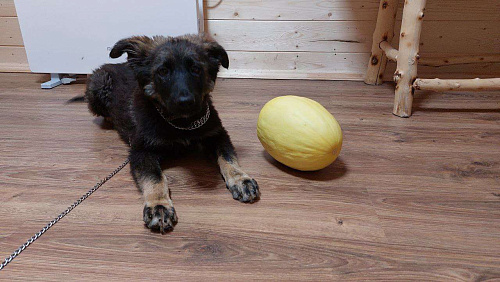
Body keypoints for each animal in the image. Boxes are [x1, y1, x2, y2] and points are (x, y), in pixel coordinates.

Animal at [84, 34, 260, 234]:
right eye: (162, 71)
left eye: (196, 69)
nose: (185, 102)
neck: (182, 124)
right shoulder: (141, 152)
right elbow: (154, 177)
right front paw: (159, 205)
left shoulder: (218, 135)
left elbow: (228, 158)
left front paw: (240, 179)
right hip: (98, 86)